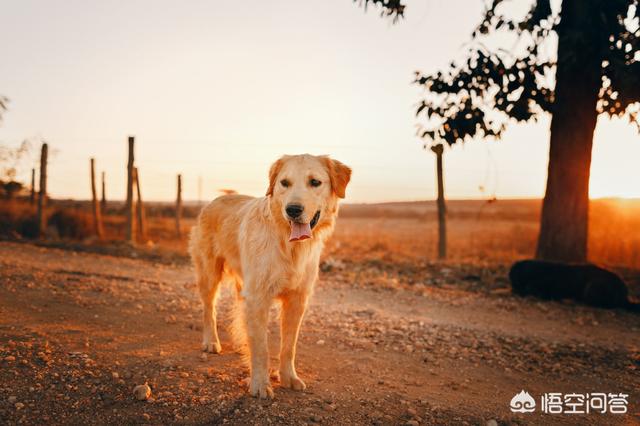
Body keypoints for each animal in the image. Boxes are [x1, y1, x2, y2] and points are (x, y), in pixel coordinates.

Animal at [190, 154, 350, 400]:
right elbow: (261, 347)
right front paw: (260, 383)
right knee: (210, 310)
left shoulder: (297, 300)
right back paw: (211, 341)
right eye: (284, 183)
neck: (289, 246)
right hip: (209, 274)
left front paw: (288, 377)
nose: (293, 209)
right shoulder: (258, 298)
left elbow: (288, 346)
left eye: (315, 182)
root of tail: (219, 198)